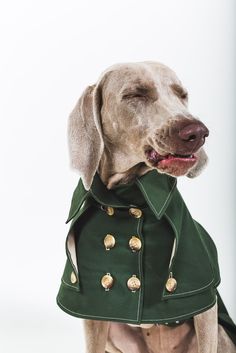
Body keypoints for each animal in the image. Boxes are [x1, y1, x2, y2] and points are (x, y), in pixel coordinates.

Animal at [57, 62, 236, 350]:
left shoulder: (204, 302)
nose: (197, 131)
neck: (127, 198)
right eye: (136, 95)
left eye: (182, 95)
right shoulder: (91, 312)